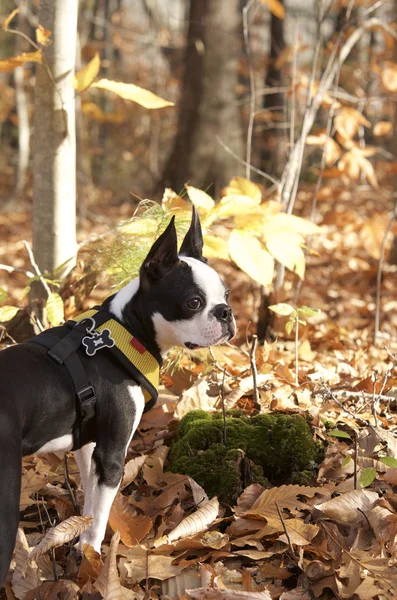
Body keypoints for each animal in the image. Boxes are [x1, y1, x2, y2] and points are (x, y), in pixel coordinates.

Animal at [0, 207, 235, 584]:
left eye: (225, 295)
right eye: (193, 302)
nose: (226, 312)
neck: (126, 333)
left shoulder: (88, 446)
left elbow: (89, 501)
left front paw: (78, 540)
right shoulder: (112, 456)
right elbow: (99, 516)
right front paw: (91, 556)